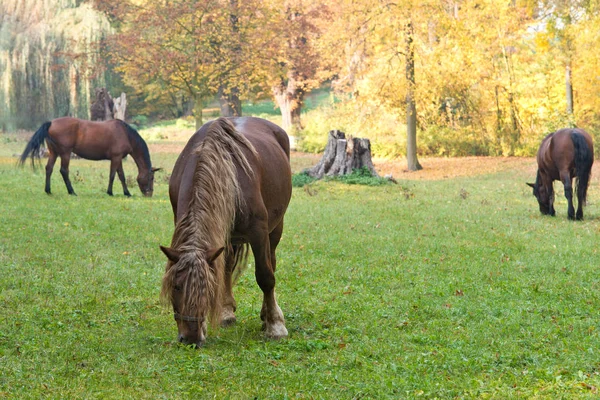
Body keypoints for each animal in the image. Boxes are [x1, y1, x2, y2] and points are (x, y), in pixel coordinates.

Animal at [19, 116, 161, 196]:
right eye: (151, 178)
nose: (149, 194)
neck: (125, 134)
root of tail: (51, 123)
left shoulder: (118, 158)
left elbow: (121, 176)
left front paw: (127, 193)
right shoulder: (116, 157)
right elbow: (113, 175)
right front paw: (110, 192)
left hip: (54, 153)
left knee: (49, 169)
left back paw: (48, 190)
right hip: (65, 153)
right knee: (64, 171)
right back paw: (72, 191)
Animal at [158, 116, 292, 346]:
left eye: (207, 288)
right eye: (176, 286)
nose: (190, 338)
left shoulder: (258, 232)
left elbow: (265, 276)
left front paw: (275, 325)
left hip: (275, 228)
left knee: (271, 264)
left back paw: (267, 315)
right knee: (228, 266)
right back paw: (227, 312)